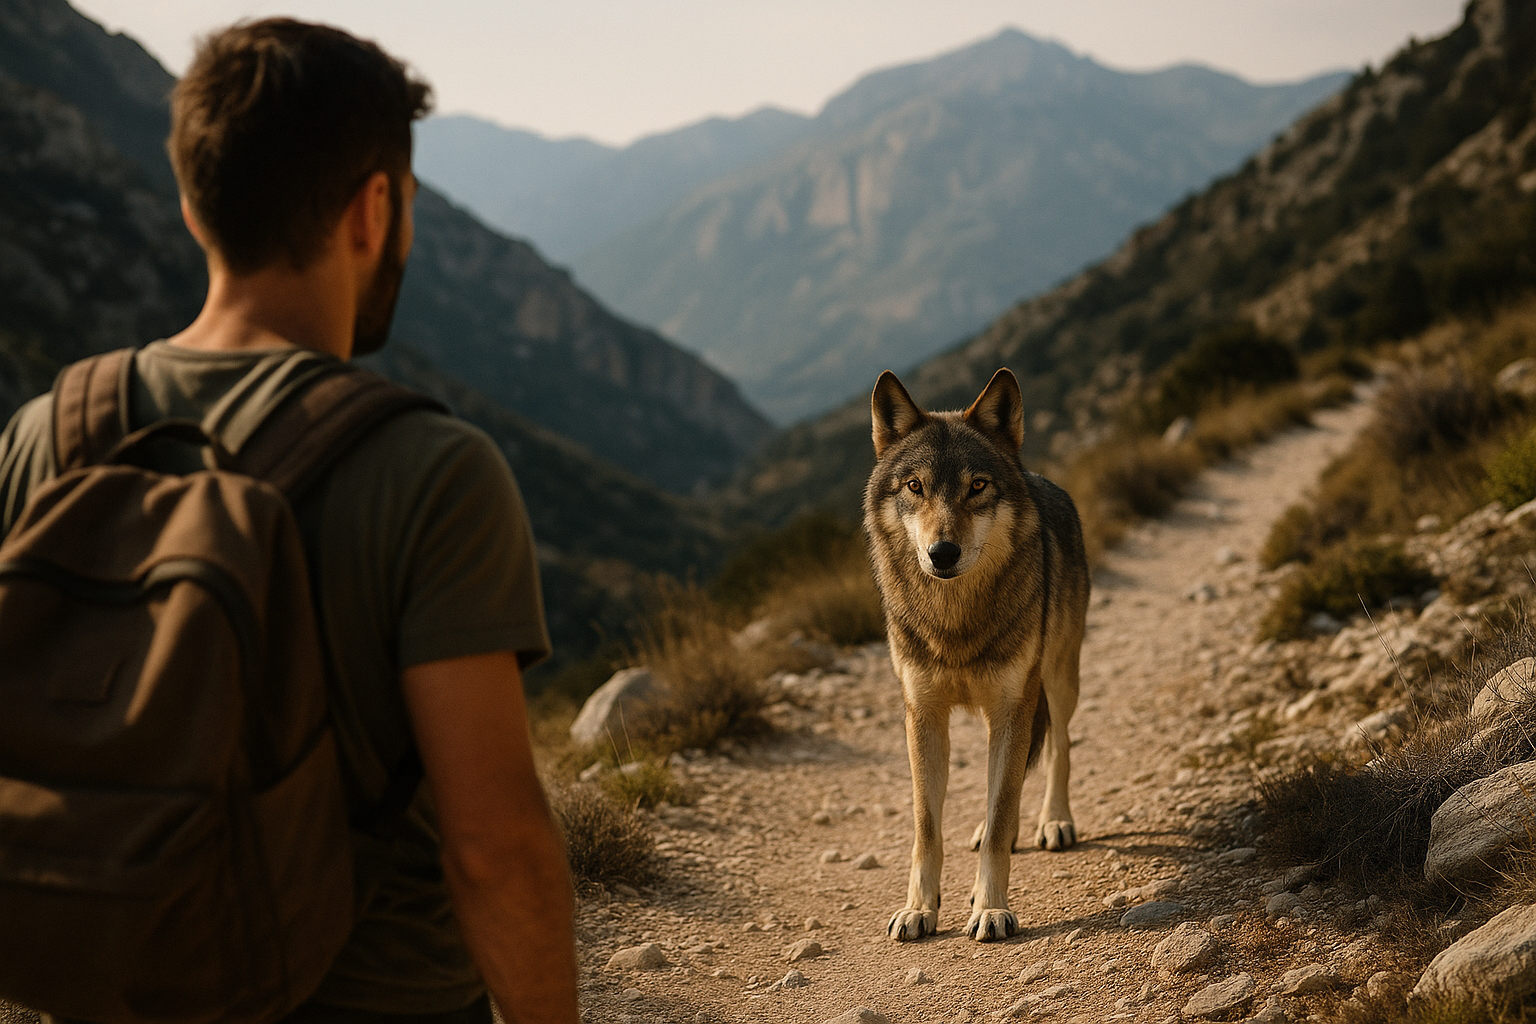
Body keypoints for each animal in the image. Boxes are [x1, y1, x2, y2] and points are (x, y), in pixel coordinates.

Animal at [864, 367, 1090, 943]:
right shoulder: (923, 715)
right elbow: (927, 826)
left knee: (1059, 747)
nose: (942, 553)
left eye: (978, 486)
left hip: (1057, 679)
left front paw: (990, 909)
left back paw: (1055, 821)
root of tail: (1039, 476)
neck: (955, 621)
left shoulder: (1013, 707)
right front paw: (919, 909)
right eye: (915, 487)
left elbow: (1005, 803)